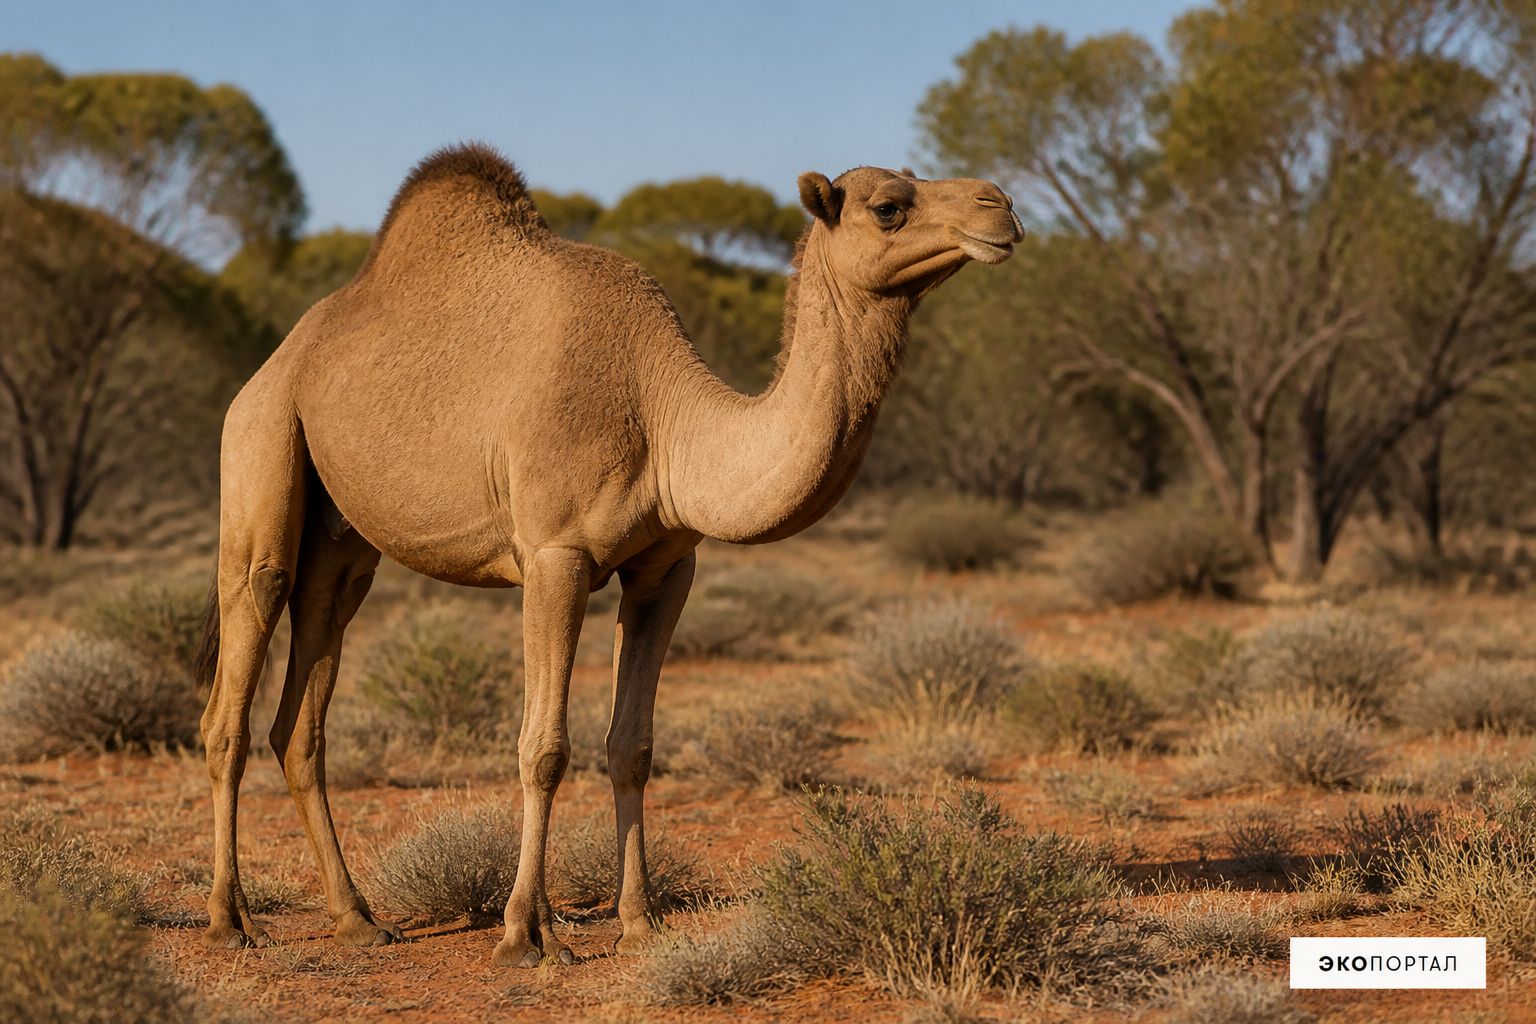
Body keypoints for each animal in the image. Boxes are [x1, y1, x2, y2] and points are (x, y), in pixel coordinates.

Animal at [195, 141, 1022, 965]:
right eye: (889, 206)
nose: (1002, 208)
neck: (663, 420)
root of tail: (277, 361)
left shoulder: (666, 569)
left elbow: (633, 746)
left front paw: (638, 919)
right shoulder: (554, 556)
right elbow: (544, 749)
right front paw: (525, 934)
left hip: (344, 545)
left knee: (303, 709)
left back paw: (358, 917)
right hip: (261, 445)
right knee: (239, 670)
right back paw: (231, 920)